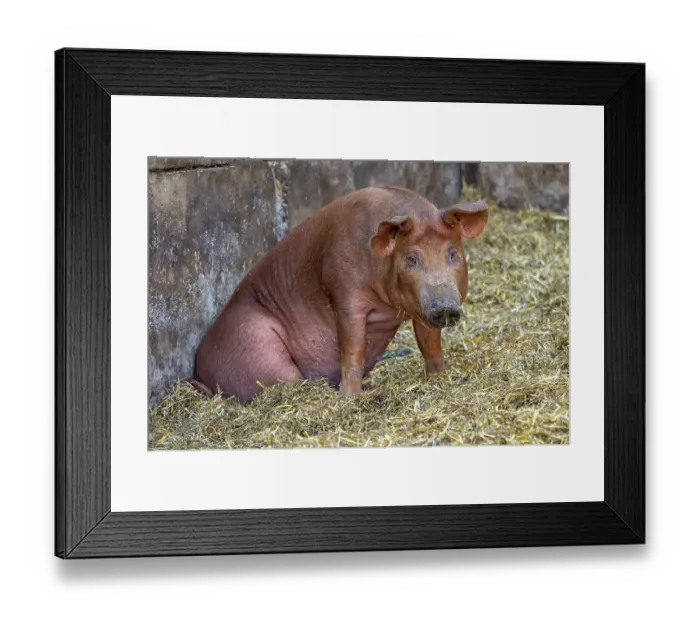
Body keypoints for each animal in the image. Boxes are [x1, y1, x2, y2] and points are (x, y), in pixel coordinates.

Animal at [191, 186, 488, 403]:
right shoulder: (345, 294)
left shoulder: (422, 310)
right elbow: (353, 350)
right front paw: (351, 398)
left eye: (453, 253)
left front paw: (440, 377)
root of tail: (198, 370)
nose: (444, 306)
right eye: (411, 259)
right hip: (259, 347)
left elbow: (430, 345)